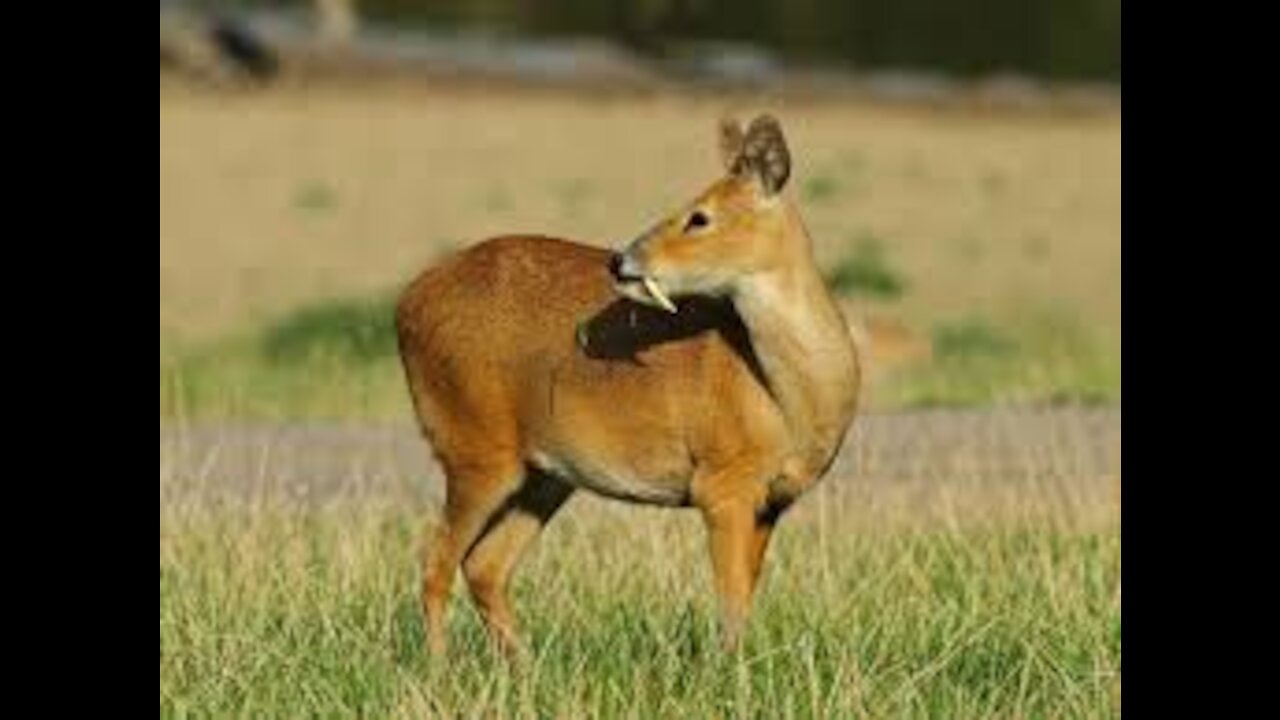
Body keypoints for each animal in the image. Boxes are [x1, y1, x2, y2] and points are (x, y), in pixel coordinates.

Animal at [394, 113, 865, 655]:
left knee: (483, 566)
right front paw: (731, 671)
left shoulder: (772, 502)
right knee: (435, 562)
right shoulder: (722, 483)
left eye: (699, 217)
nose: (621, 260)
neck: (790, 400)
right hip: (474, 449)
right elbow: (730, 608)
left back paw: (522, 665)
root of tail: (405, 306)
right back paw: (441, 668)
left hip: (544, 475)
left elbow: (743, 600)